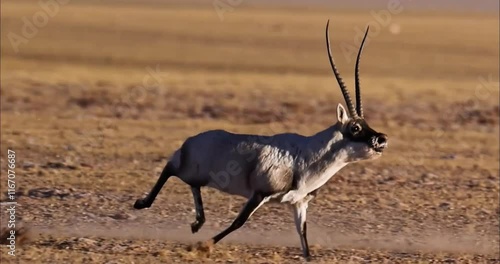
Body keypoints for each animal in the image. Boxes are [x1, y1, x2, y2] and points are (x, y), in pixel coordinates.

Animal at [133, 20, 386, 260]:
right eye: (355, 127)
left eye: (366, 124)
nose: (381, 140)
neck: (306, 156)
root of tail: (192, 140)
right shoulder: (259, 194)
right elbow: (238, 222)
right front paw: (203, 247)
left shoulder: (299, 204)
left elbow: (304, 240)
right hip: (189, 169)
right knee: (170, 168)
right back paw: (143, 204)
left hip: (200, 177)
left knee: (192, 185)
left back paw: (197, 222)